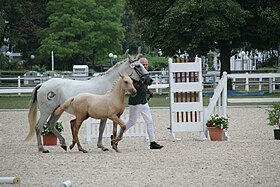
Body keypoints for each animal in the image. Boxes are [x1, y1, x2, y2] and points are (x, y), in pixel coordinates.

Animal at [24, 54, 153, 153]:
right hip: (46, 111)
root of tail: (42, 84)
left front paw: (107, 145)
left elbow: (103, 129)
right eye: (138, 66)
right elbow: (101, 128)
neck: (109, 85)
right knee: (39, 127)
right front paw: (103, 146)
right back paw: (42, 148)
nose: (150, 80)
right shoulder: (106, 114)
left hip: (56, 111)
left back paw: (64, 144)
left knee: (50, 125)